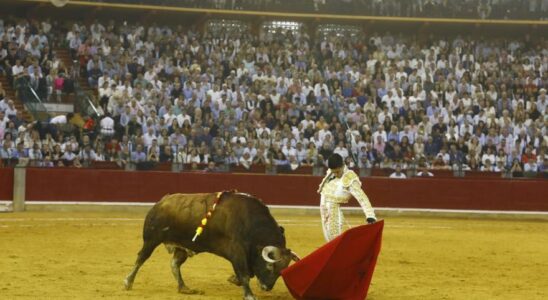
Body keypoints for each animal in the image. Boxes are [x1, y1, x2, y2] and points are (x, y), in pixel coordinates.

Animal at [124, 192, 300, 300]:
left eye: (282, 270)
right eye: (270, 267)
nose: (266, 287)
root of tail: (160, 202)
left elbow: (244, 275)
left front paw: (233, 279)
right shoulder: (237, 251)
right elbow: (244, 274)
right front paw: (249, 294)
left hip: (181, 246)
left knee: (174, 264)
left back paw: (184, 288)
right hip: (151, 239)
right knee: (141, 258)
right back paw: (128, 282)